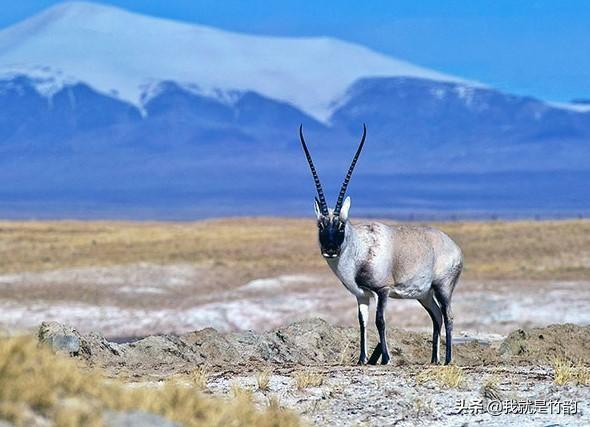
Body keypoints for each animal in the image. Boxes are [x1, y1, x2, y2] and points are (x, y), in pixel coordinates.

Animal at [302, 125, 464, 366]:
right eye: (320, 225)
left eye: (341, 225)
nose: (330, 250)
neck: (360, 247)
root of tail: (454, 246)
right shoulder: (361, 295)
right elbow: (362, 322)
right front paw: (361, 359)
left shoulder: (383, 290)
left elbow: (380, 321)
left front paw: (386, 358)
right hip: (424, 295)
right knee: (436, 316)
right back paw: (434, 359)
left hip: (443, 287)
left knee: (448, 315)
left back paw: (447, 359)